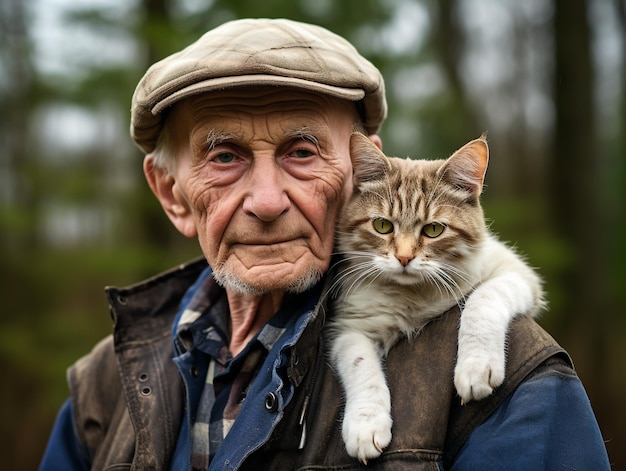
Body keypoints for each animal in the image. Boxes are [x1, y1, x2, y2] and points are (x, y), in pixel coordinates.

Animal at [330, 133, 544, 464]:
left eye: (433, 229)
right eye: (382, 226)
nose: (404, 258)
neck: (413, 294)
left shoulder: (517, 274)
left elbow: (482, 299)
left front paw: (476, 364)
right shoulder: (350, 327)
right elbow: (359, 361)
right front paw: (365, 423)